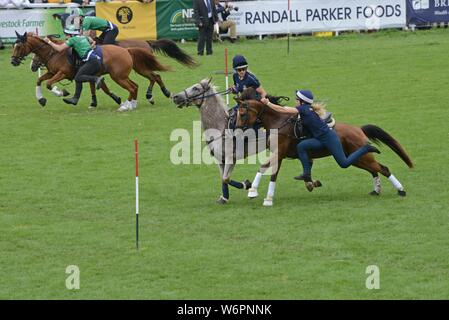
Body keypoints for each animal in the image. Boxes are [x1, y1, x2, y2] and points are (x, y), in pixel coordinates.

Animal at [11, 31, 171, 110]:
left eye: (18, 46)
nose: (12, 61)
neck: (55, 53)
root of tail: (127, 50)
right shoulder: (53, 72)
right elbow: (39, 80)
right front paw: (41, 99)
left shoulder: (62, 73)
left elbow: (49, 84)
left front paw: (62, 93)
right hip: (127, 73)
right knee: (141, 83)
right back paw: (136, 102)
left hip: (119, 76)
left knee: (140, 83)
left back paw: (130, 104)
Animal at [234, 95, 412, 206]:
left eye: (242, 114)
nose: (236, 131)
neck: (278, 123)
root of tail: (358, 129)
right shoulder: (280, 155)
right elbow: (267, 170)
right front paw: (256, 193)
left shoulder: (280, 154)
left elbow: (268, 172)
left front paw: (262, 196)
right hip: (355, 159)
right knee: (374, 170)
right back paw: (377, 190)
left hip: (358, 158)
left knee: (383, 168)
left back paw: (401, 190)